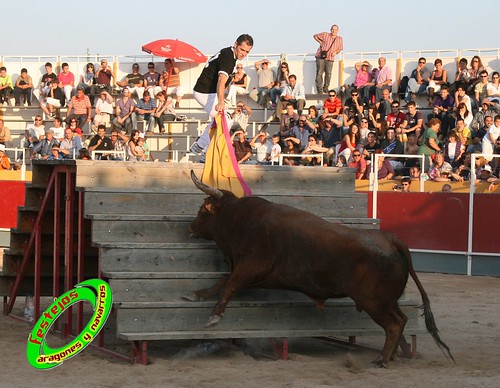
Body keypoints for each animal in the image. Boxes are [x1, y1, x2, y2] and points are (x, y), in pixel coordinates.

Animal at [187, 171, 454, 366]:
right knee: (401, 319)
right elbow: (222, 281)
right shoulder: (250, 271)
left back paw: (381, 359)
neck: (237, 218)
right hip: (386, 301)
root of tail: (390, 239)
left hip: (373, 301)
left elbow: (229, 283)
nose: (191, 227)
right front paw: (196, 294)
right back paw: (393, 354)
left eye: (202, 210)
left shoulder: (252, 265)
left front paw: (213, 316)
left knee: (394, 324)